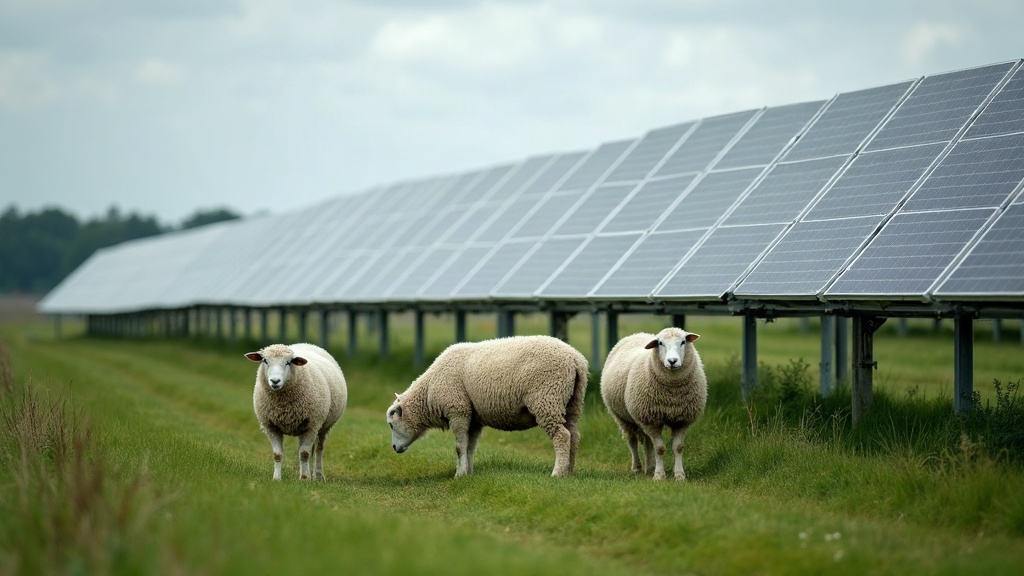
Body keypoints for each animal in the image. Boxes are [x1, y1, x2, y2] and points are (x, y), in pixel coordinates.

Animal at [246, 343, 347, 481]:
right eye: (265, 360)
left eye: (288, 362)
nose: (275, 381)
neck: (283, 406)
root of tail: (307, 344)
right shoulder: (270, 427)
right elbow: (278, 454)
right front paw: (277, 478)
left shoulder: (312, 425)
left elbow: (304, 453)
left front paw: (304, 478)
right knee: (303, 448)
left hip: (324, 426)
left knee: (318, 449)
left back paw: (318, 475)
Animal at [386, 335, 588, 478]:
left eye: (391, 424)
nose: (394, 448)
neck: (428, 392)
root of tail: (575, 359)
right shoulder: (473, 417)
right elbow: (470, 446)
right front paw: (468, 473)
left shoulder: (457, 410)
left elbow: (459, 446)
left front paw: (458, 475)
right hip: (572, 403)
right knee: (574, 435)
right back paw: (569, 471)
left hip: (547, 398)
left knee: (562, 436)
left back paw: (557, 473)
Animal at [600, 327, 706, 481]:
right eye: (660, 343)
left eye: (683, 342)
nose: (672, 361)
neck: (673, 393)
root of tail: (637, 334)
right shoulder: (651, 421)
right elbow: (660, 448)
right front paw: (659, 476)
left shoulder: (682, 421)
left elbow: (678, 447)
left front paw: (679, 475)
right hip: (623, 417)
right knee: (632, 441)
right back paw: (637, 468)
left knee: (647, 442)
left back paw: (649, 468)